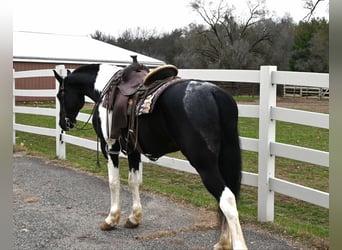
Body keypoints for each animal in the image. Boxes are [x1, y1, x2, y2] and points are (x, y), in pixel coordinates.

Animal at [52, 59, 246, 249]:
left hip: (204, 163)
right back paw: (223, 242)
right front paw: (134, 218)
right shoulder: (133, 150)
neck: (104, 87)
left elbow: (114, 182)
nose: (63, 123)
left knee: (227, 199)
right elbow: (134, 182)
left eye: (60, 95)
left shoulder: (110, 147)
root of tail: (214, 93)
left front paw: (111, 219)